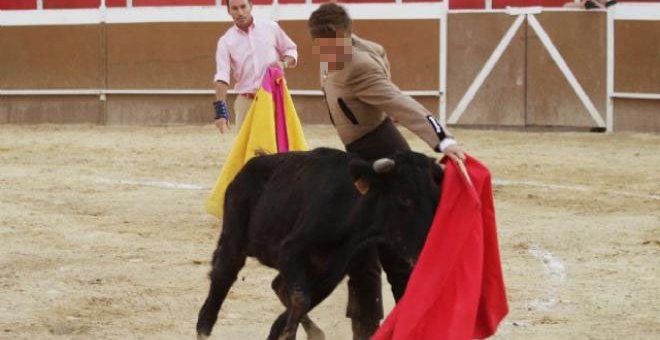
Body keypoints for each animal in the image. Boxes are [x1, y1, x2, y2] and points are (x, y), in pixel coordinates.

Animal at [196, 148, 444, 340]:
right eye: (404, 197)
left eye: (436, 198)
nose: (427, 246)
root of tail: (249, 167)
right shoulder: (290, 251)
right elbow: (300, 299)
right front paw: (288, 334)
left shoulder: (331, 273)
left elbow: (300, 301)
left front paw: (286, 332)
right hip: (233, 239)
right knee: (222, 278)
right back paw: (203, 328)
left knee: (278, 286)